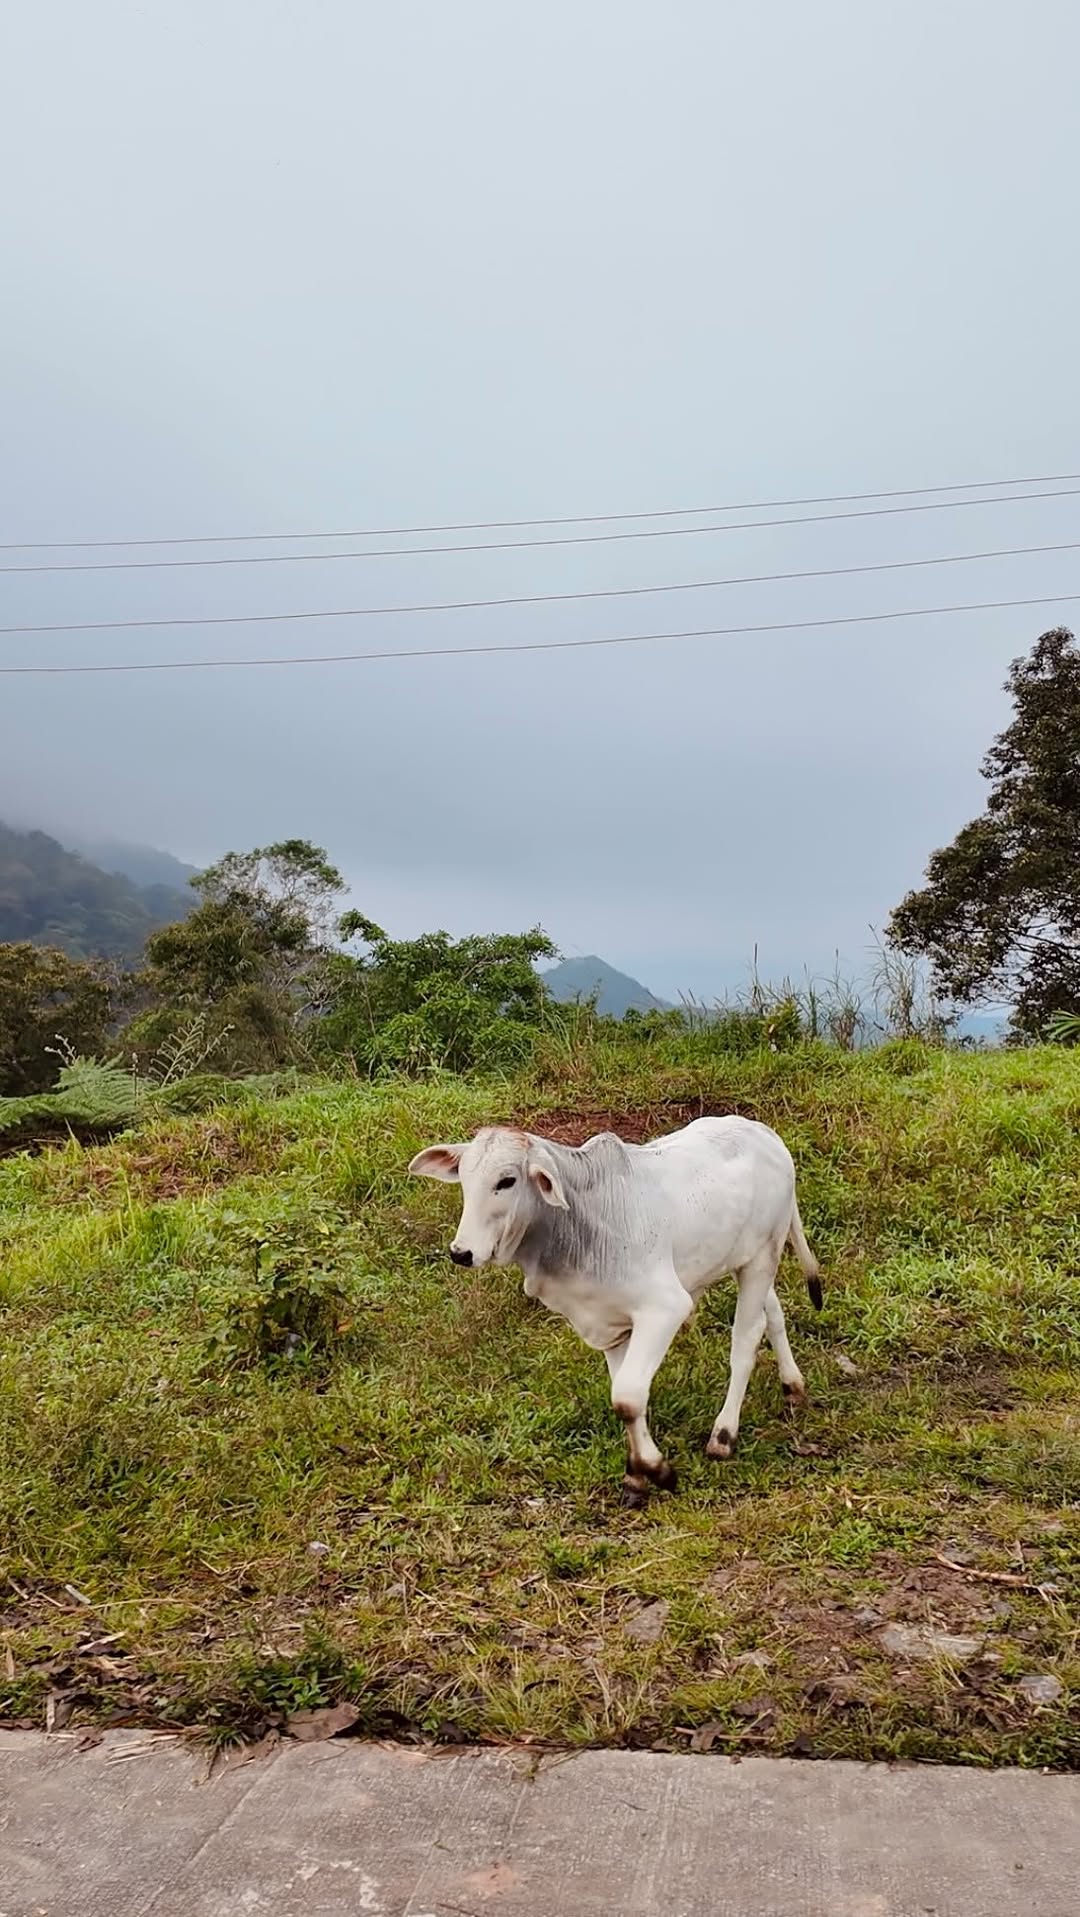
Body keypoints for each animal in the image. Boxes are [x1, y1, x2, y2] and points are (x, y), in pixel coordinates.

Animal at [409, 1116, 823, 1503]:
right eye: (464, 1179)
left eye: (506, 1181)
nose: (461, 1252)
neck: (579, 1227)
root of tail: (763, 1133)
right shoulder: (609, 1324)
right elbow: (629, 1398)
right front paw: (635, 1475)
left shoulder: (664, 1308)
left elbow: (626, 1397)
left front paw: (658, 1471)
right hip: (746, 1261)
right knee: (772, 1313)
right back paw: (793, 1386)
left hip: (762, 1257)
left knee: (745, 1339)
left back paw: (724, 1435)